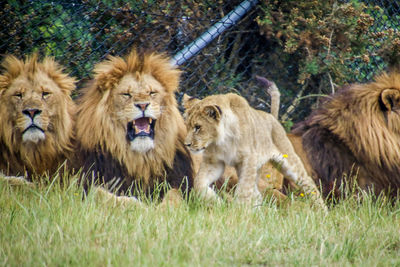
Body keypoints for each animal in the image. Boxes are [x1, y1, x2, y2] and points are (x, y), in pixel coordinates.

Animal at [76, 49, 195, 205]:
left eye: (152, 92)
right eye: (126, 94)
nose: (143, 105)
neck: (140, 159)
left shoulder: (179, 183)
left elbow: (174, 196)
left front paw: (165, 208)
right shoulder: (82, 186)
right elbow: (104, 195)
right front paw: (140, 206)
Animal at [183, 93, 326, 210]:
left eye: (198, 127)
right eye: (187, 126)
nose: (187, 144)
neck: (221, 141)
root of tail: (272, 117)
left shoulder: (248, 160)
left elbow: (244, 190)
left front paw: (240, 213)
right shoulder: (213, 162)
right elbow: (199, 182)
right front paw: (215, 201)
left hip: (287, 160)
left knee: (307, 182)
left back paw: (323, 212)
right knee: (257, 194)